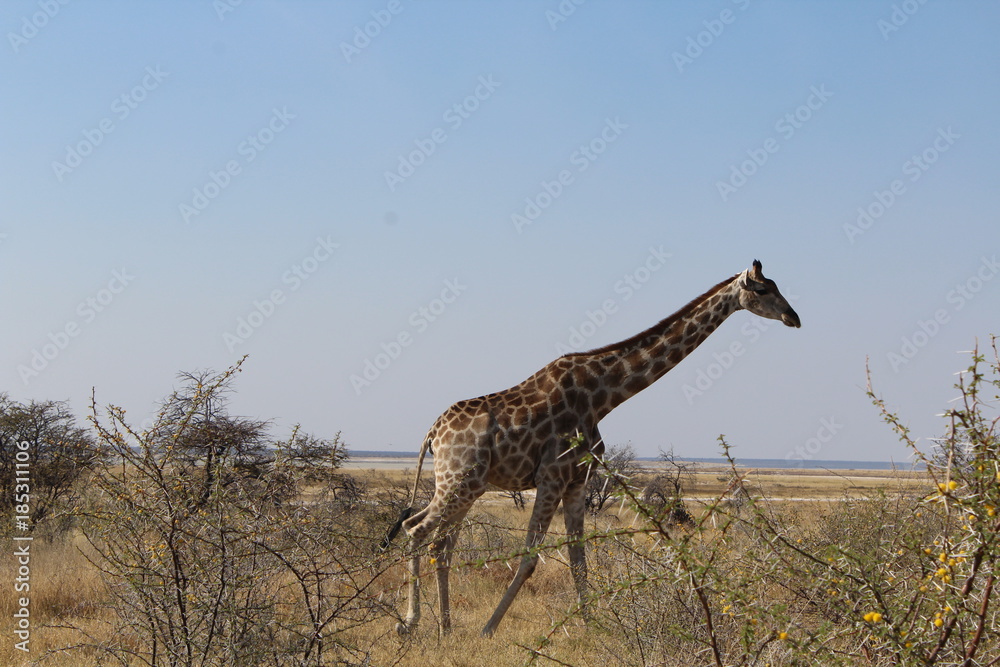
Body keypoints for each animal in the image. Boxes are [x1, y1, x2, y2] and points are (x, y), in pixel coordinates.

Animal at [384, 260, 800, 637]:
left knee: (440, 543)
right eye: (763, 289)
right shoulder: (552, 476)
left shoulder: (576, 481)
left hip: (469, 486)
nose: (793, 317)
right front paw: (489, 628)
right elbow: (530, 557)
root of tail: (432, 435)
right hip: (458, 482)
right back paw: (410, 623)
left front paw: (592, 626)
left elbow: (578, 557)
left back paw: (446, 627)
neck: (603, 396)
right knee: (416, 529)